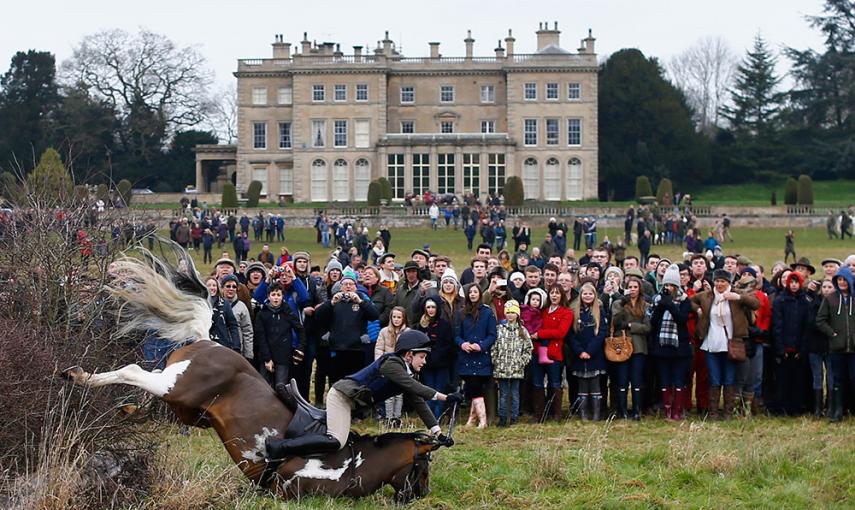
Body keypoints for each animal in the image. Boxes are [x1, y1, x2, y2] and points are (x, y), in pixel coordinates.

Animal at [63, 249, 452, 500]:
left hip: (189, 408)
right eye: (424, 466)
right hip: (177, 386)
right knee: (134, 371)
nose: (421, 495)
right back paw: (77, 375)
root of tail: (209, 341)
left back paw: (127, 409)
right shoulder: (290, 490)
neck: (354, 463)